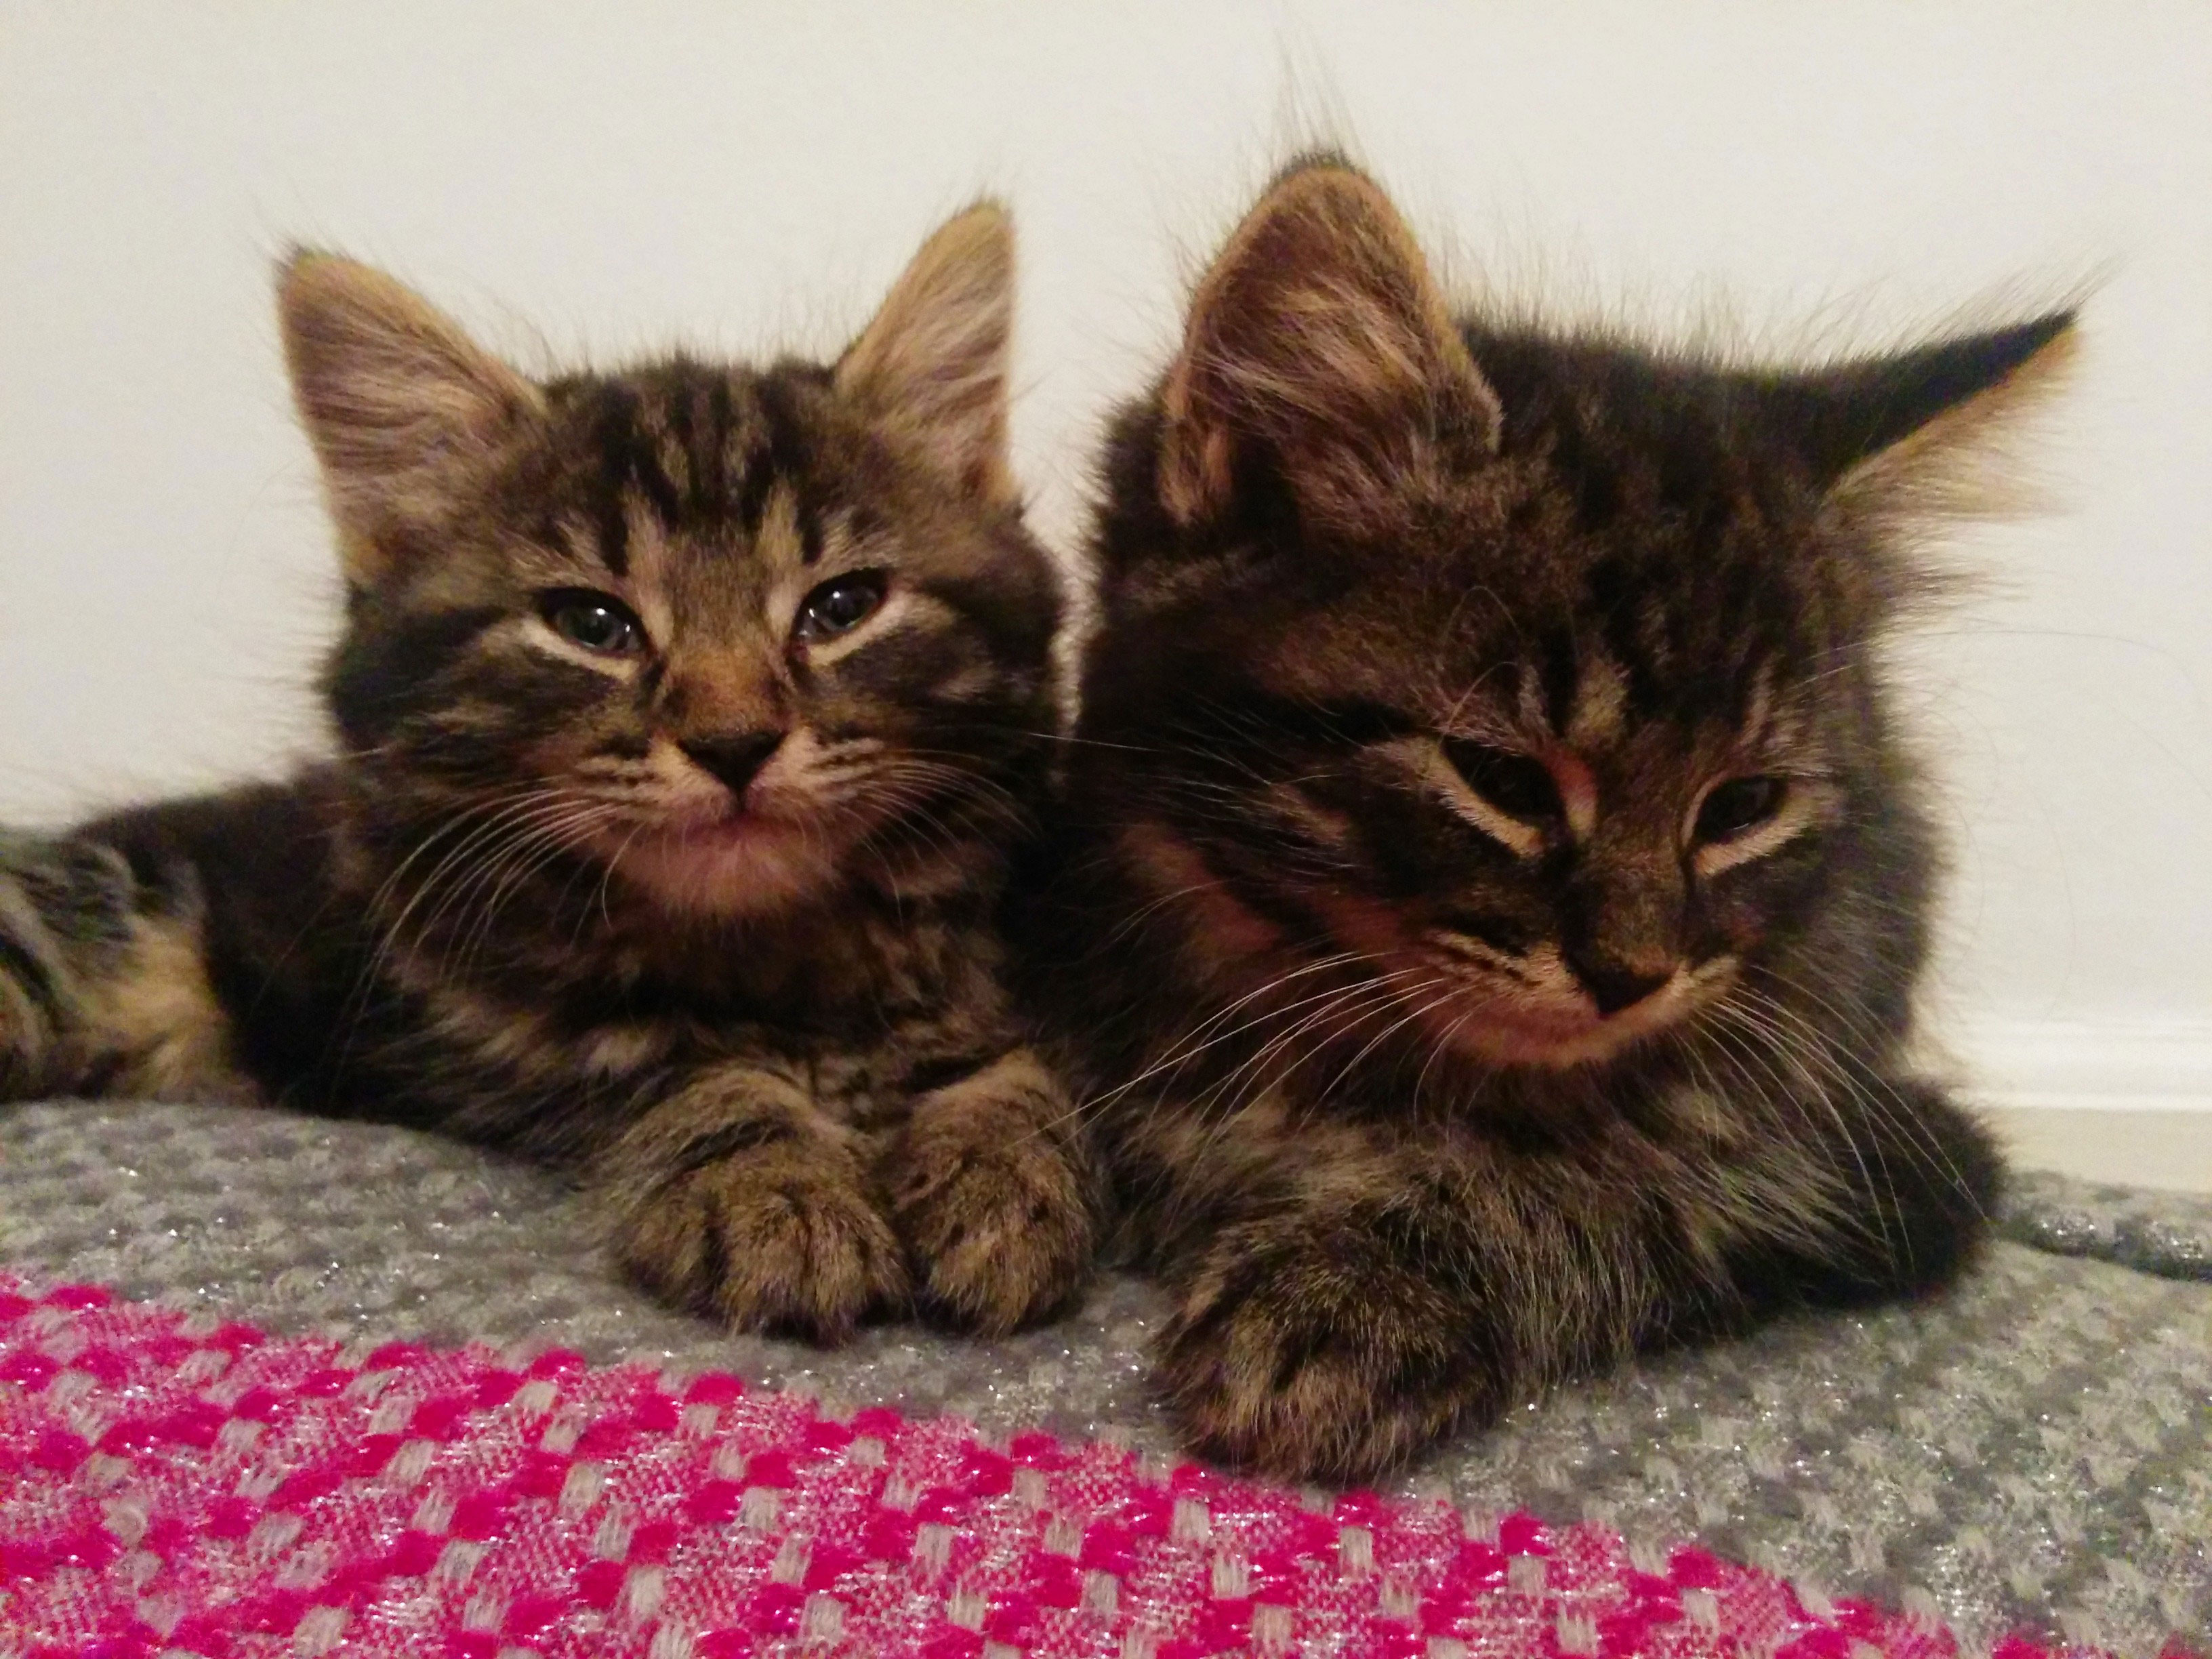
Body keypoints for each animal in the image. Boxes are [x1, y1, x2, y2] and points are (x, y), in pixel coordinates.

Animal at [0, 211, 1101, 1353]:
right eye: (592, 625)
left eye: (842, 607)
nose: (735, 742)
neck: (773, 958)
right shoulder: (484, 1031)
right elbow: (690, 1076)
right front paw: (776, 1189)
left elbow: (1020, 1070)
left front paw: (1003, 1172)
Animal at [1026, 156, 2079, 1477]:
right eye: (1505, 780)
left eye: (1742, 805)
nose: (1632, 974)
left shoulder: (1881, 1150)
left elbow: (1614, 1184)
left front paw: (1351, 1293)